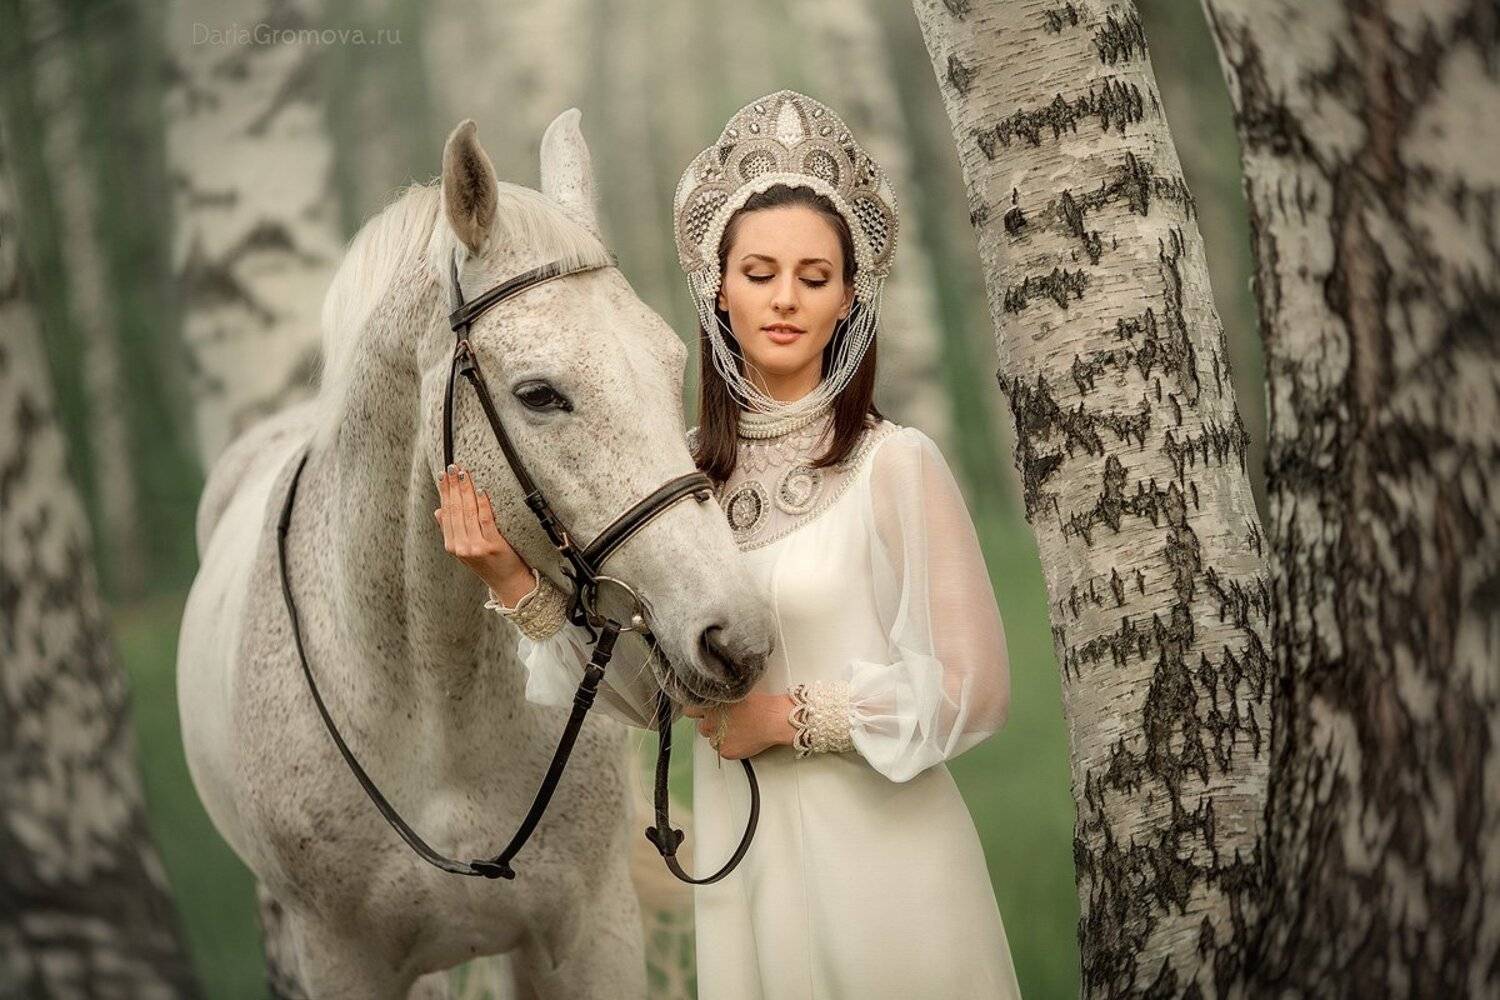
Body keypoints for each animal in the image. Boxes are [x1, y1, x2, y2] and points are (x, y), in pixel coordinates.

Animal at [177, 111, 773, 999]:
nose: (736, 638)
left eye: (672, 366)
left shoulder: (590, 937)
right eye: (539, 394)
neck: (433, 706)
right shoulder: (341, 961)